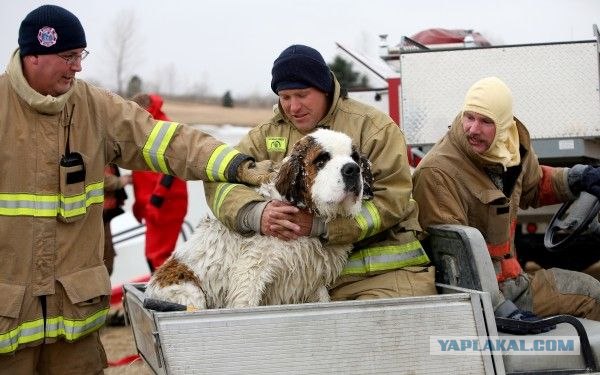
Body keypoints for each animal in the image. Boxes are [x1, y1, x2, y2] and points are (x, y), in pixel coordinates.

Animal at [145, 128, 370, 310]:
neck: (304, 208)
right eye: (321, 160)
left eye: (354, 157)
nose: (352, 169)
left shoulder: (310, 276)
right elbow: (246, 299)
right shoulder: (252, 270)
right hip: (189, 292)